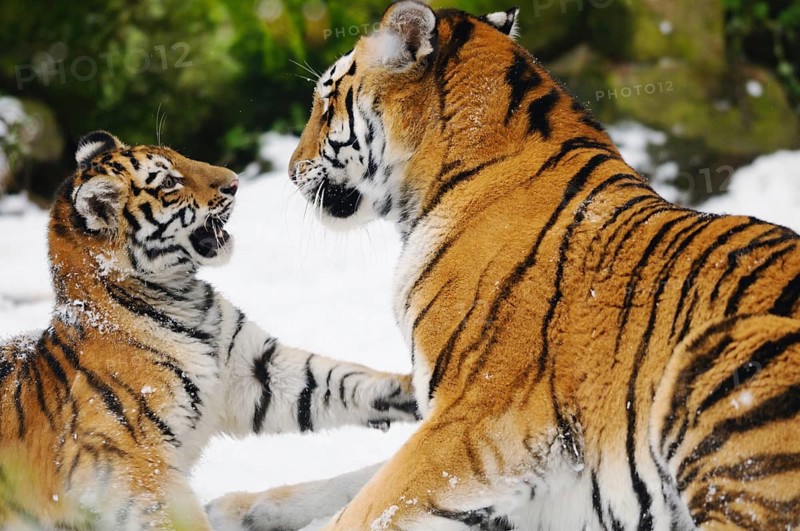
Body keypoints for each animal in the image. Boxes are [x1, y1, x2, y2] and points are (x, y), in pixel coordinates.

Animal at [0, 131, 418, 530]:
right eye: (170, 181)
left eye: (180, 157)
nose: (234, 182)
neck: (182, 299)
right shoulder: (130, 460)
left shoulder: (253, 371)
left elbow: (339, 380)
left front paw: (416, 390)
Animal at [206, 2, 800, 530]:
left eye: (327, 102)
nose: (289, 168)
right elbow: (353, 482)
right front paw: (234, 508)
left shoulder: (477, 419)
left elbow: (370, 506)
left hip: (717, 357)